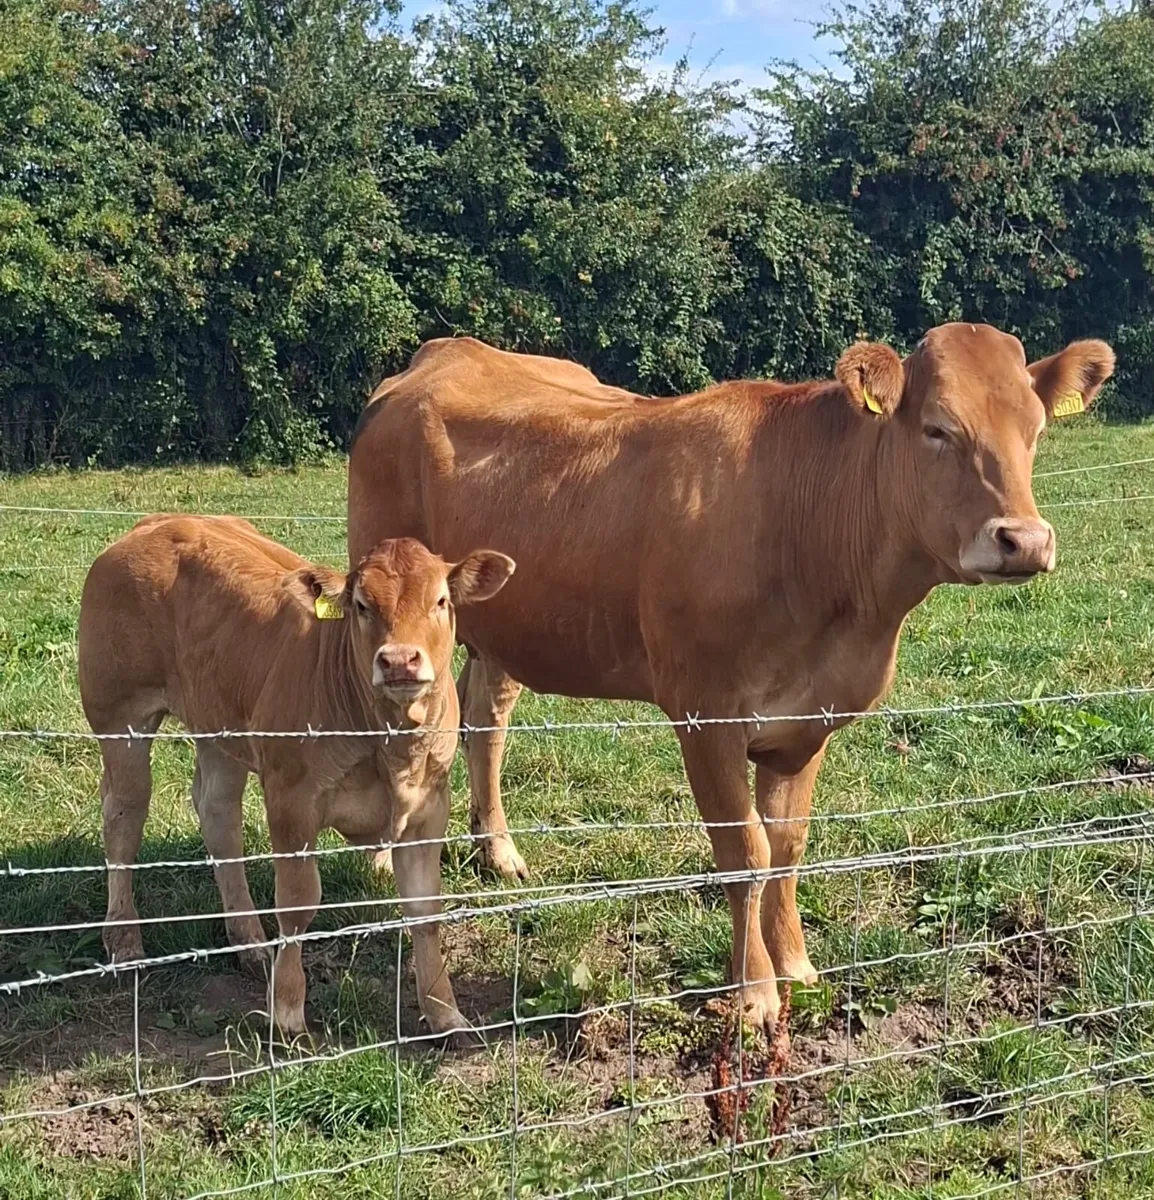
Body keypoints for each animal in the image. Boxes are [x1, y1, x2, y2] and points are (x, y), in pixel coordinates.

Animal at [78, 515, 514, 1038]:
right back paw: (124, 939)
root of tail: (160, 522)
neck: (390, 742)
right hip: (120, 718)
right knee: (123, 819)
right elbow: (298, 901)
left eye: (441, 601)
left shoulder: (429, 806)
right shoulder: (291, 800)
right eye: (362, 605)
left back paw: (248, 941)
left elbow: (426, 910)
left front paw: (444, 1013)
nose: (399, 660)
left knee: (218, 814)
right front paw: (286, 1013)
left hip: (218, 724)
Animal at [345, 324, 1115, 1033]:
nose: (1024, 540)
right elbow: (743, 851)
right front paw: (754, 994)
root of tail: (445, 352)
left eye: (1035, 431)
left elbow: (788, 846)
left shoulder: (805, 722)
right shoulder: (703, 714)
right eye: (937, 429)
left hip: (499, 628)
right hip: (390, 611)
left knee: (488, 716)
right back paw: (385, 856)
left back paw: (499, 849)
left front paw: (797, 966)